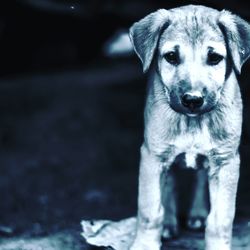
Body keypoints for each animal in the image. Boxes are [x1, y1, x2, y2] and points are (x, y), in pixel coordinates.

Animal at [129, 4, 250, 250]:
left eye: (214, 58)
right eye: (171, 57)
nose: (193, 99)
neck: (192, 120)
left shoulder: (226, 162)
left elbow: (220, 220)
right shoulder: (152, 156)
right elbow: (150, 210)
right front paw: (146, 244)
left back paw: (197, 213)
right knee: (170, 184)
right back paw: (169, 223)